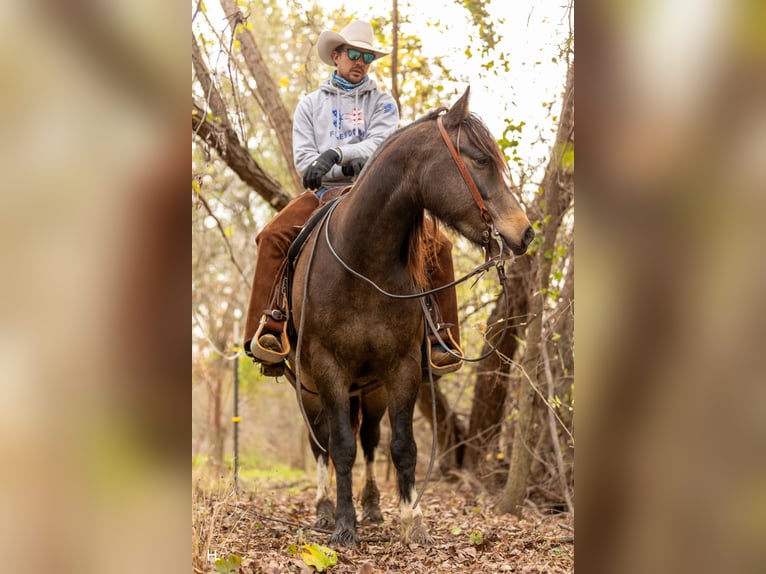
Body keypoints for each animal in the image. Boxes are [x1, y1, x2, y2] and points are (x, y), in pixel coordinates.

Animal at [283, 87, 534, 547]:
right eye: (481, 159)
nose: (524, 232)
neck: (361, 262)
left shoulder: (401, 368)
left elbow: (401, 446)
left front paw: (410, 519)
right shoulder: (328, 368)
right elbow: (340, 446)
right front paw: (344, 525)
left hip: (372, 389)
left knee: (369, 439)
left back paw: (372, 506)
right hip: (307, 386)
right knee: (322, 443)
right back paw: (325, 509)